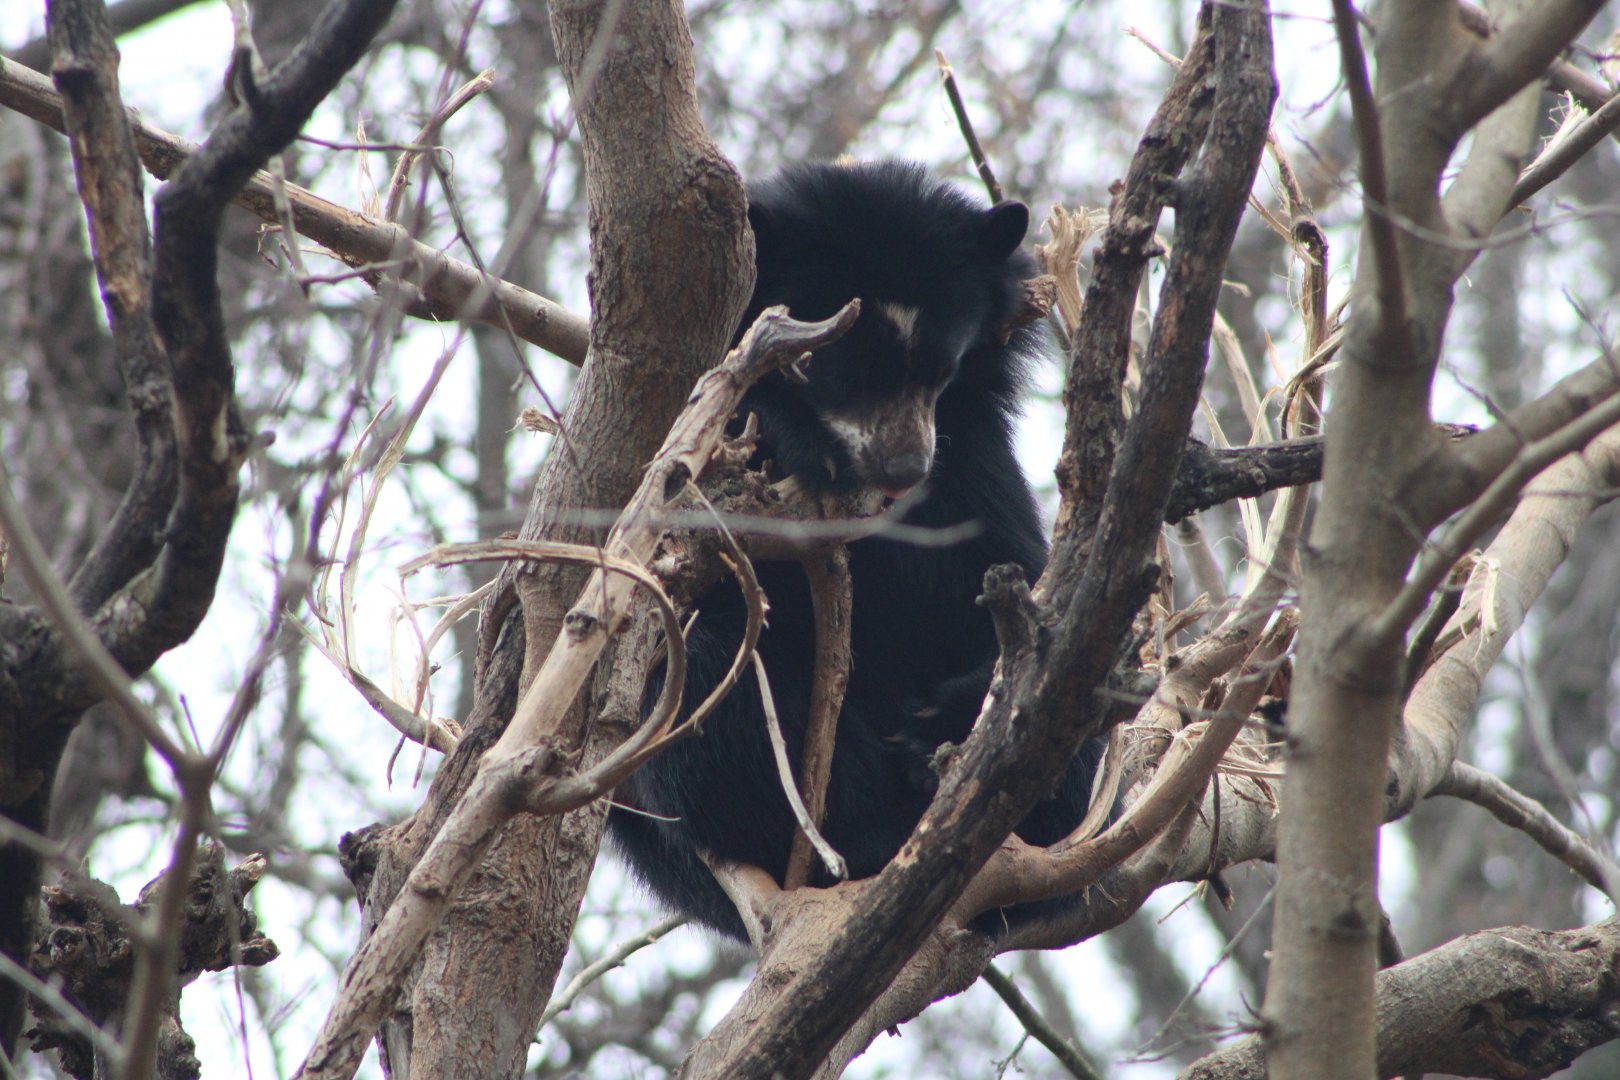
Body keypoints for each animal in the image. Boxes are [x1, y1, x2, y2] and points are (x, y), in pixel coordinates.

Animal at [606, 160, 1103, 942]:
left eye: (941, 368)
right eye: (833, 369)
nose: (904, 467)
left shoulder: (971, 462)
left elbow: (1022, 590)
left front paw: (950, 723)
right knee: (709, 681)